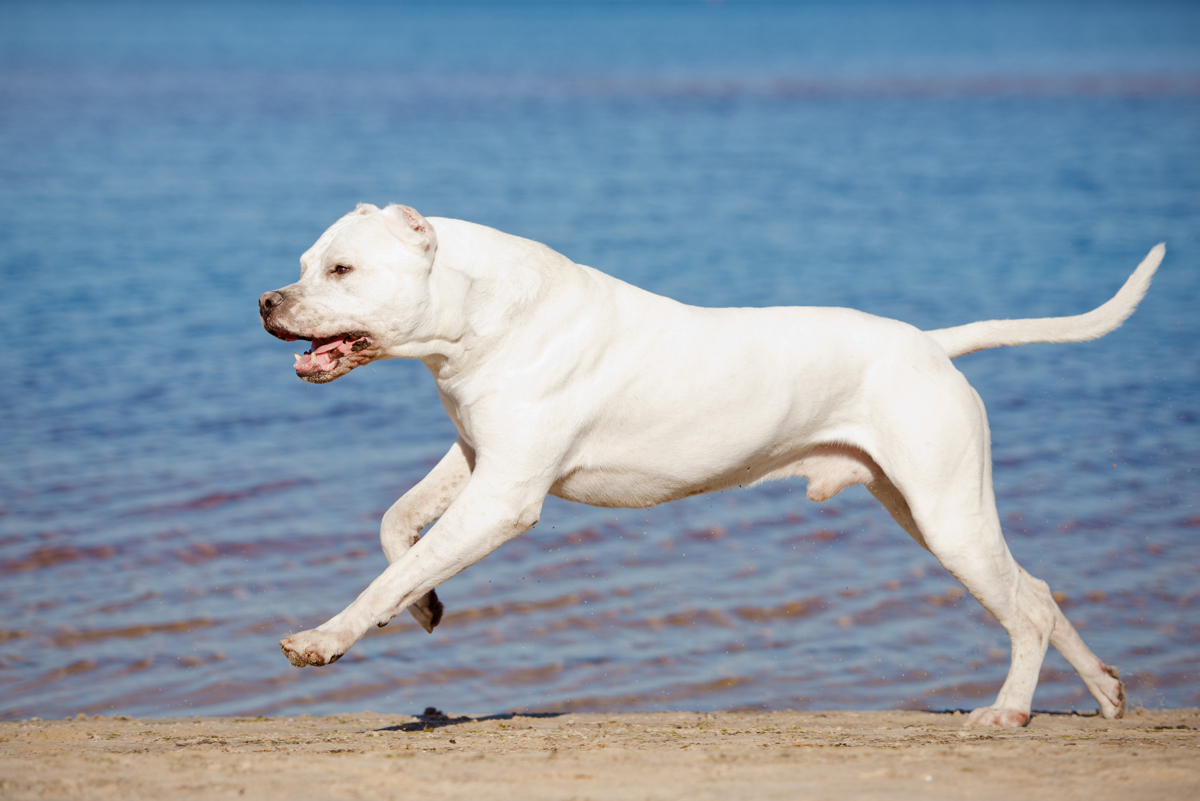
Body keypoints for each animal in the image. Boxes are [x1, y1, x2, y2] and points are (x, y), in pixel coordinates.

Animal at [255, 205, 1161, 724]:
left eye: (341, 268)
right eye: (302, 263)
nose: (266, 300)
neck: (479, 317)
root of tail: (932, 345)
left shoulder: (505, 494)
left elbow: (389, 570)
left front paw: (325, 639)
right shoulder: (477, 458)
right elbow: (397, 529)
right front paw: (425, 605)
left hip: (947, 516)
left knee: (1025, 609)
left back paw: (1007, 713)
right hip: (928, 509)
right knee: (1036, 591)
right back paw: (1106, 691)